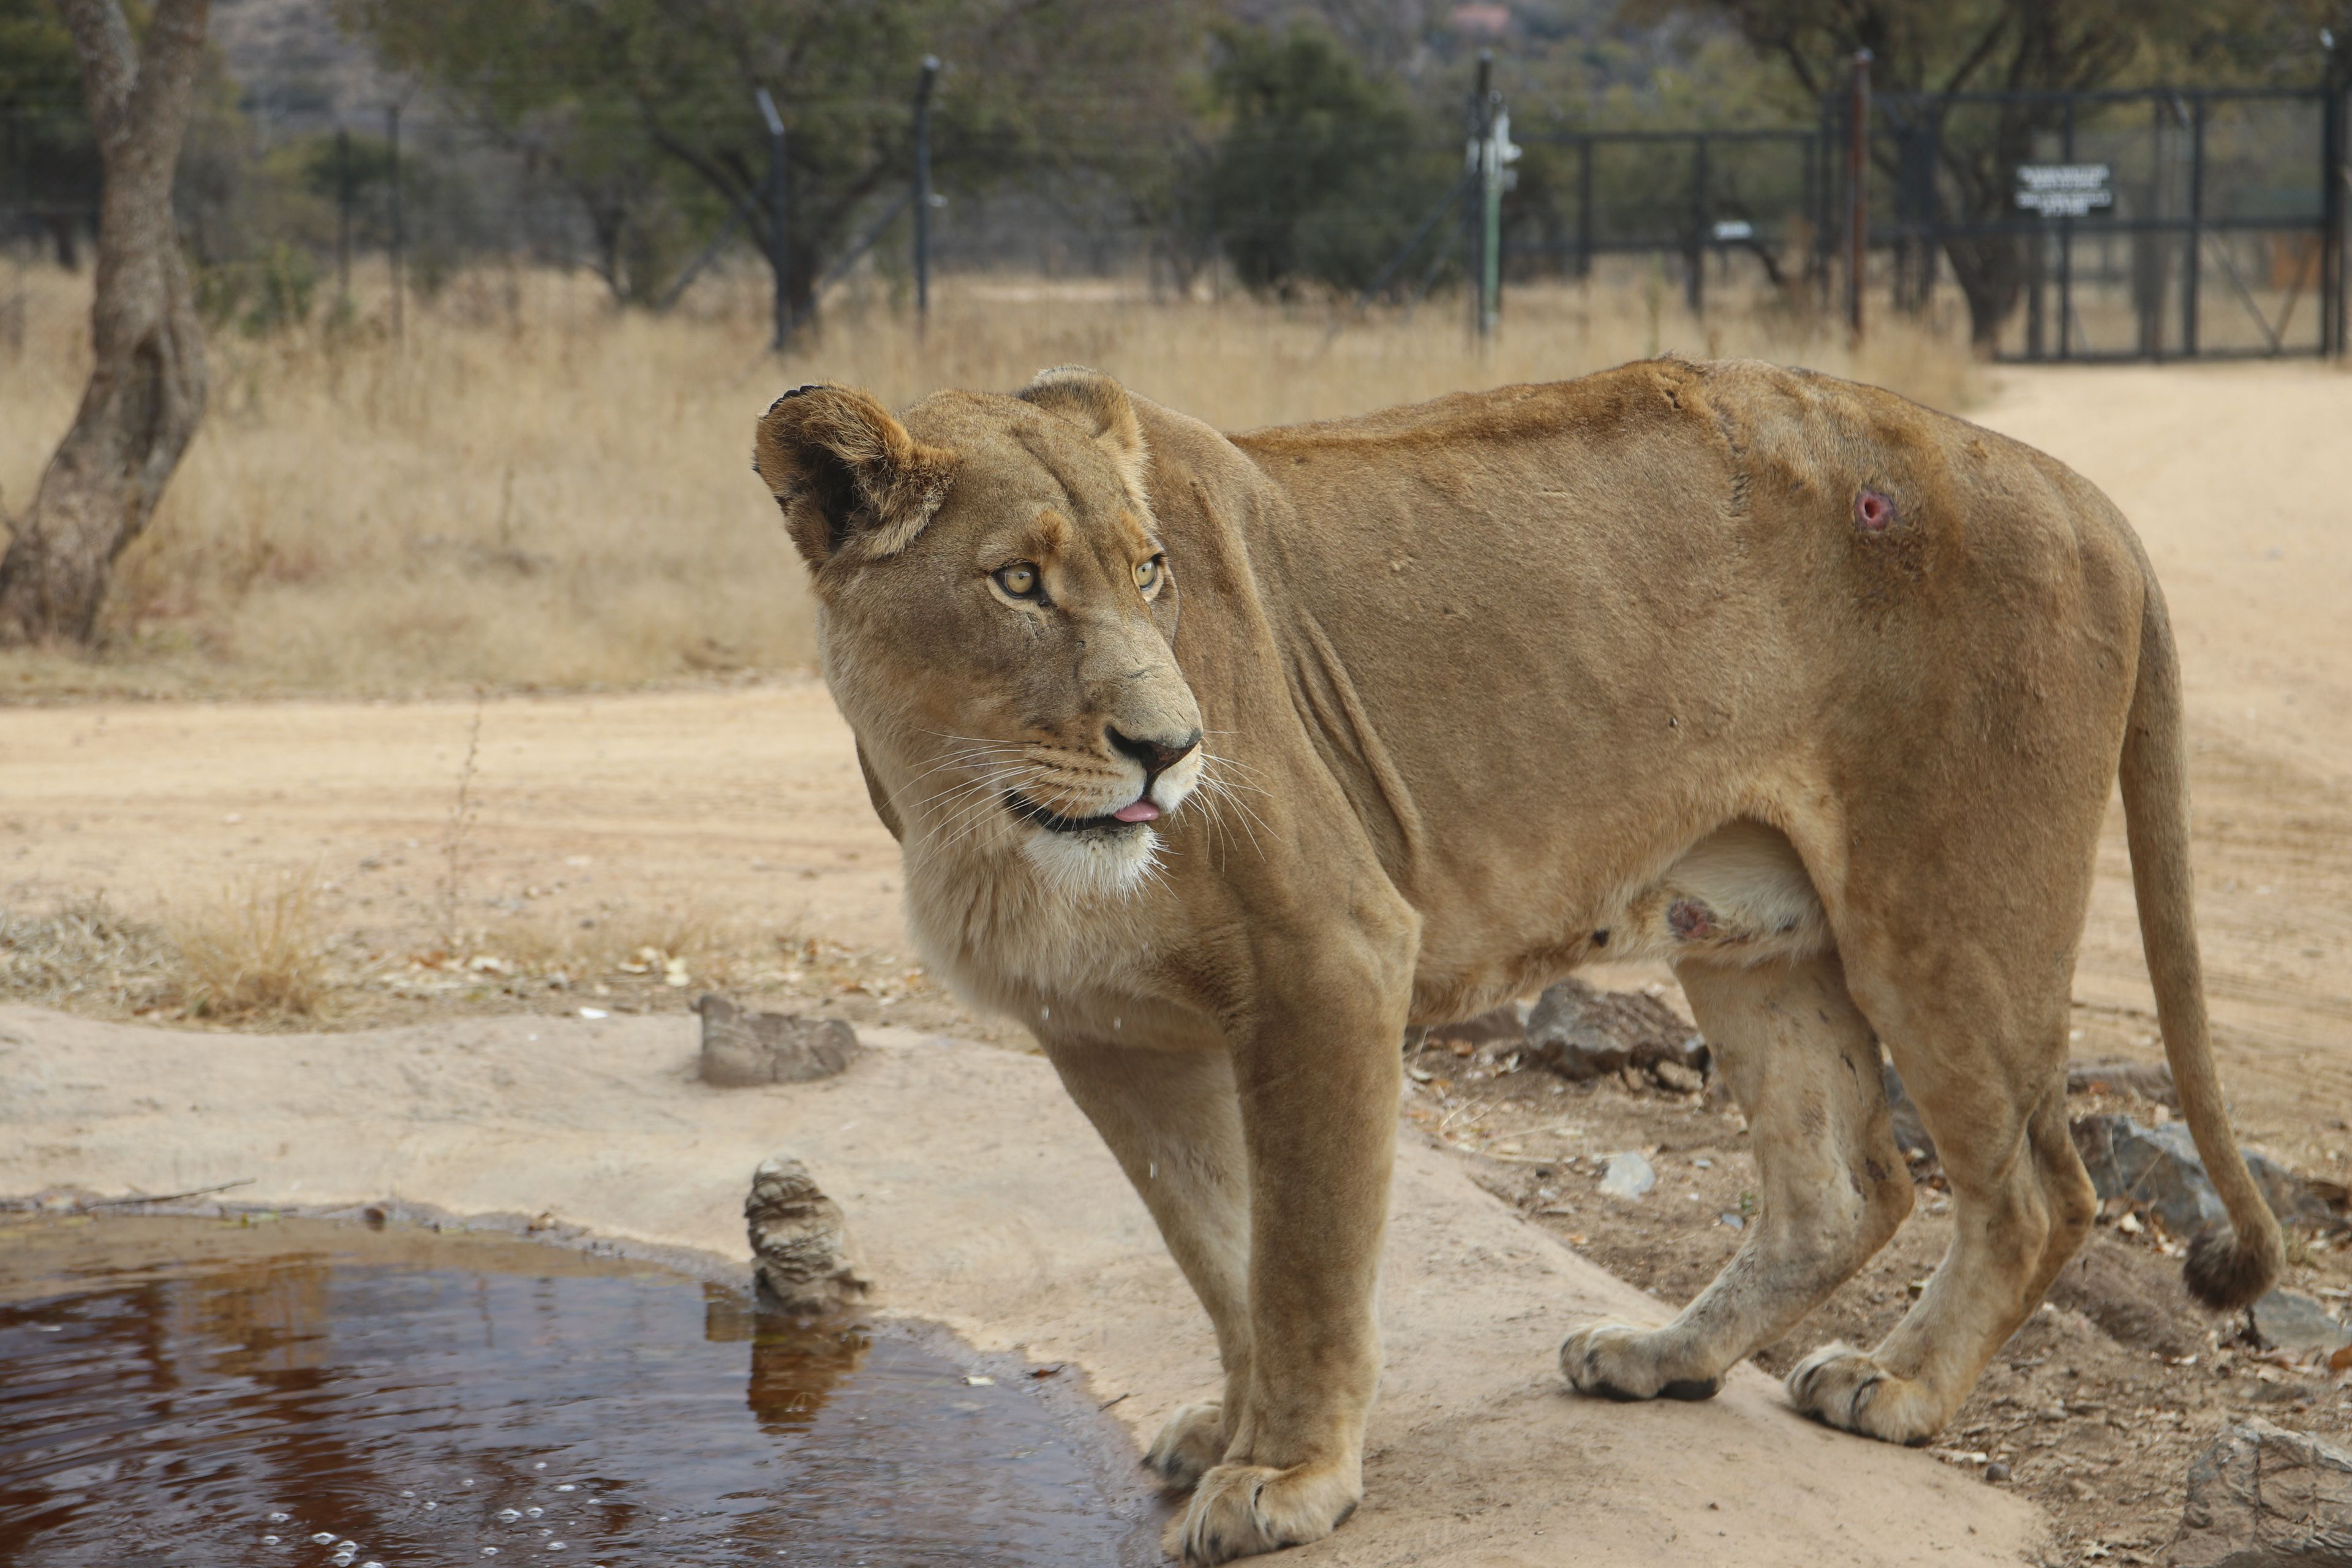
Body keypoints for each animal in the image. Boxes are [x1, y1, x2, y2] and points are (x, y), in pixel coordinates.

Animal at [750, 358, 2280, 1564]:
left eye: (1151, 572)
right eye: (1016, 582)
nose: (1170, 749)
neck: (981, 808)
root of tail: (2080, 488)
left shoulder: (1333, 958)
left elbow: (1304, 1252)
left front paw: (1288, 1476)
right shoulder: (1110, 1034)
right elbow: (1216, 1246)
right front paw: (1233, 1426)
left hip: (1951, 911)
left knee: (2036, 1188)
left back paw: (1894, 1388)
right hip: (1749, 929)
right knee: (1844, 1188)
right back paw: (1661, 1356)